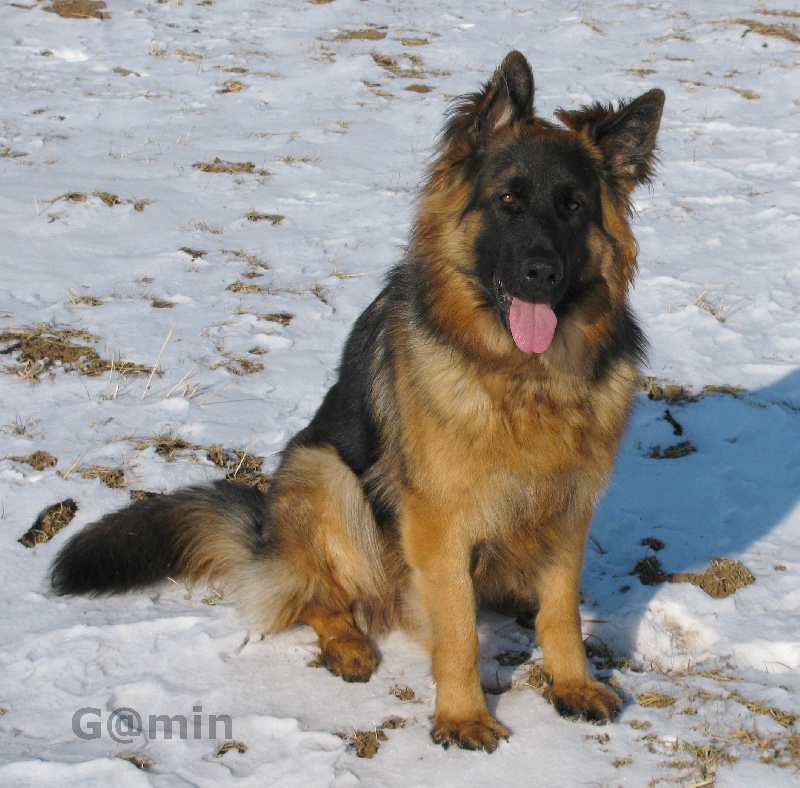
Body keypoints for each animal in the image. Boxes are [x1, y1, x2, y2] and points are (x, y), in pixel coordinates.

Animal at [48, 52, 664, 756]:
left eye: (573, 208)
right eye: (508, 200)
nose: (542, 273)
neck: (521, 379)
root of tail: (264, 536)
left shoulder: (568, 506)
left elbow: (560, 612)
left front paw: (572, 683)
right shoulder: (437, 521)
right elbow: (457, 631)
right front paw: (462, 716)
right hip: (325, 474)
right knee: (315, 597)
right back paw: (348, 645)